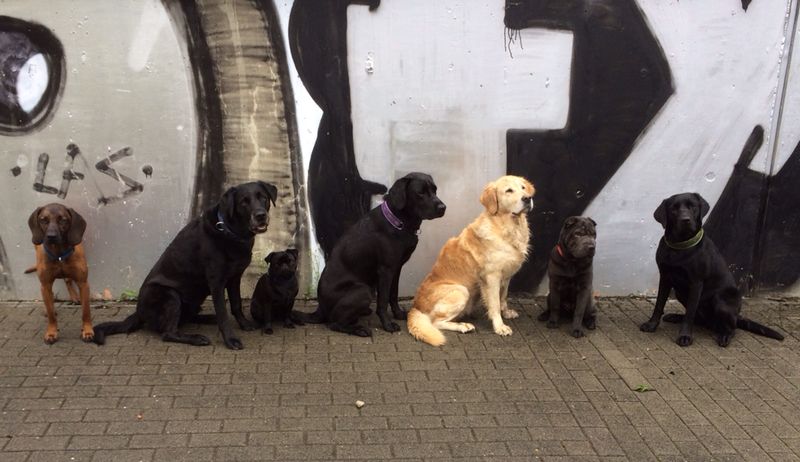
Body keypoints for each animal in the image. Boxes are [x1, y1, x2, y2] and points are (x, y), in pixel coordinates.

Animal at [27, 205, 92, 342]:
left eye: (63, 220)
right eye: (43, 219)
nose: (51, 236)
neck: (59, 254)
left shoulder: (83, 283)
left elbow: (86, 311)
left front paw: (88, 330)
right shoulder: (45, 284)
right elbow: (51, 313)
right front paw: (51, 332)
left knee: (67, 280)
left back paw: (74, 297)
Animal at [93, 182, 278, 348]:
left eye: (263, 197)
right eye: (243, 202)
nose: (260, 215)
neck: (229, 231)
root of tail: (138, 313)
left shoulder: (234, 277)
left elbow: (236, 304)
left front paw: (245, 324)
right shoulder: (216, 282)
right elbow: (223, 313)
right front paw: (231, 340)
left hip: (193, 299)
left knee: (187, 317)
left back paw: (208, 318)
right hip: (170, 295)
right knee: (168, 333)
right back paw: (196, 338)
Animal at [304, 172, 446, 336]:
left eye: (435, 190)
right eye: (420, 193)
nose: (443, 207)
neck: (398, 222)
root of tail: (319, 308)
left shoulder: (396, 268)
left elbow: (393, 295)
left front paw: (398, 314)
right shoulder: (385, 270)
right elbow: (383, 301)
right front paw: (388, 325)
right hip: (363, 290)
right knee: (334, 323)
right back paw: (359, 329)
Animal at [640, 191, 784, 346]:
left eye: (693, 207)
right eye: (674, 208)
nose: (685, 220)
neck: (680, 247)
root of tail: (737, 316)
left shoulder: (696, 283)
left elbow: (690, 312)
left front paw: (685, 336)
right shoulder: (665, 277)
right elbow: (659, 304)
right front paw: (652, 325)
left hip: (720, 301)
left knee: (732, 327)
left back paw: (725, 336)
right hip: (680, 294)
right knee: (700, 319)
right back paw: (676, 316)